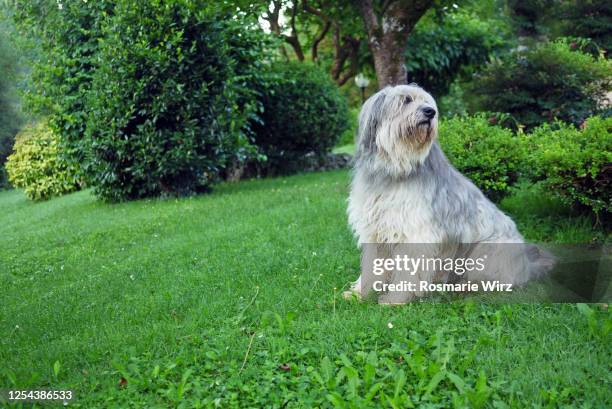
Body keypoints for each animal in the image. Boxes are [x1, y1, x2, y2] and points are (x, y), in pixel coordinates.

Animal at [346, 83, 552, 302]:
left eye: (427, 102)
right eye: (406, 100)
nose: (431, 112)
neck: (396, 168)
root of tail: (527, 266)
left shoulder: (415, 232)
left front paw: (395, 299)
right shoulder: (375, 231)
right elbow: (371, 266)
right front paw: (359, 293)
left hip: (487, 251)